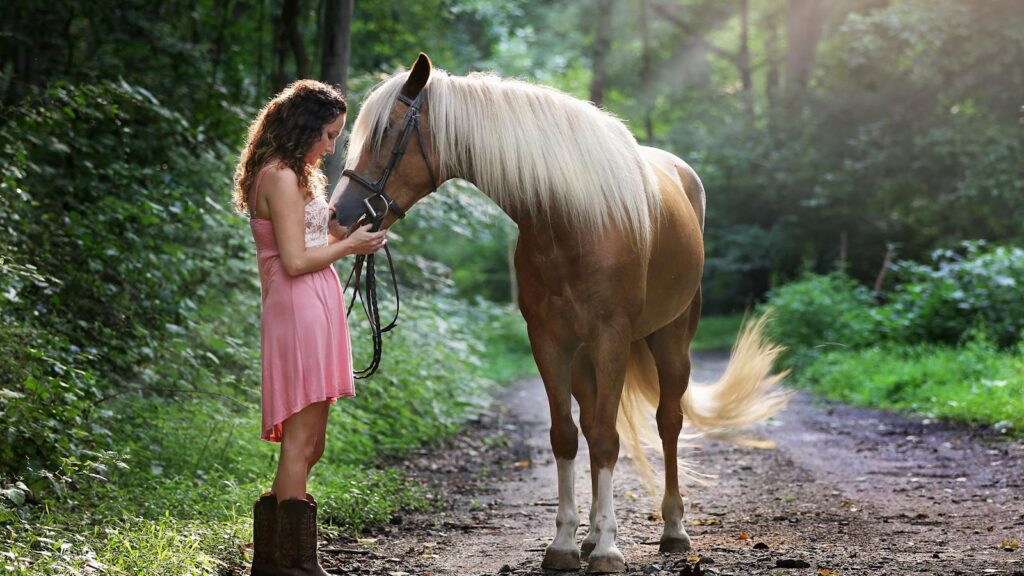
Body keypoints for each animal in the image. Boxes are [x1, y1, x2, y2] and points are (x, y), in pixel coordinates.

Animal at [332, 53, 790, 573]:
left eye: (387, 131)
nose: (339, 215)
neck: (571, 220)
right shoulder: (549, 342)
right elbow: (567, 437)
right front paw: (568, 544)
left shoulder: (611, 338)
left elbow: (609, 438)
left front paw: (609, 550)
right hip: (585, 359)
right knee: (591, 425)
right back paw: (591, 536)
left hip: (672, 340)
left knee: (667, 422)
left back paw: (673, 530)